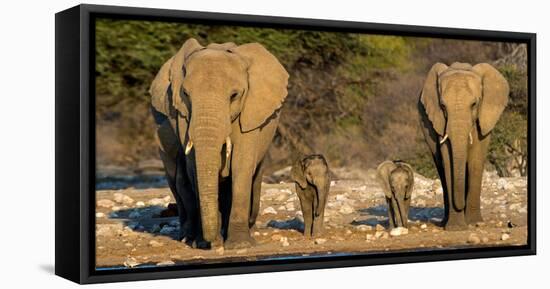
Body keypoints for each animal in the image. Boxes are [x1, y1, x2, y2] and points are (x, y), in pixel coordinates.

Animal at [149, 38, 292, 248]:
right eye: (185, 94)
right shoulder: (183, 116)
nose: (212, 241)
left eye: (234, 95)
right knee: (177, 180)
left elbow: (242, 165)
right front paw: (204, 243)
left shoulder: (250, 114)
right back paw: (187, 236)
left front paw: (240, 245)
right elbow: (195, 168)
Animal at [420, 61, 512, 230]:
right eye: (443, 106)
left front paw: (475, 223)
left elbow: (476, 160)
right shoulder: (440, 122)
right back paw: (444, 222)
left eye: (474, 104)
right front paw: (455, 228)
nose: (460, 206)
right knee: (441, 170)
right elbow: (448, 161)